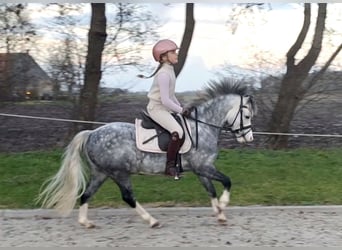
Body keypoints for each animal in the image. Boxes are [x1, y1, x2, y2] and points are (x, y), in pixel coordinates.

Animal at [37, 80, 256, 229]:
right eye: (246, 116)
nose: (249, 138)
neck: (202, 127)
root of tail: (91, 133)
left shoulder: (201, 170)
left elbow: (210, 190)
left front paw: (220, 214)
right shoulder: (204, 167)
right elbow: (227, 181)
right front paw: (224, 205)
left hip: (101, 173)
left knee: (86, 194)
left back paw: (85, 222)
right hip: (119, 173)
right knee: (127, 197)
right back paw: (152, 221)